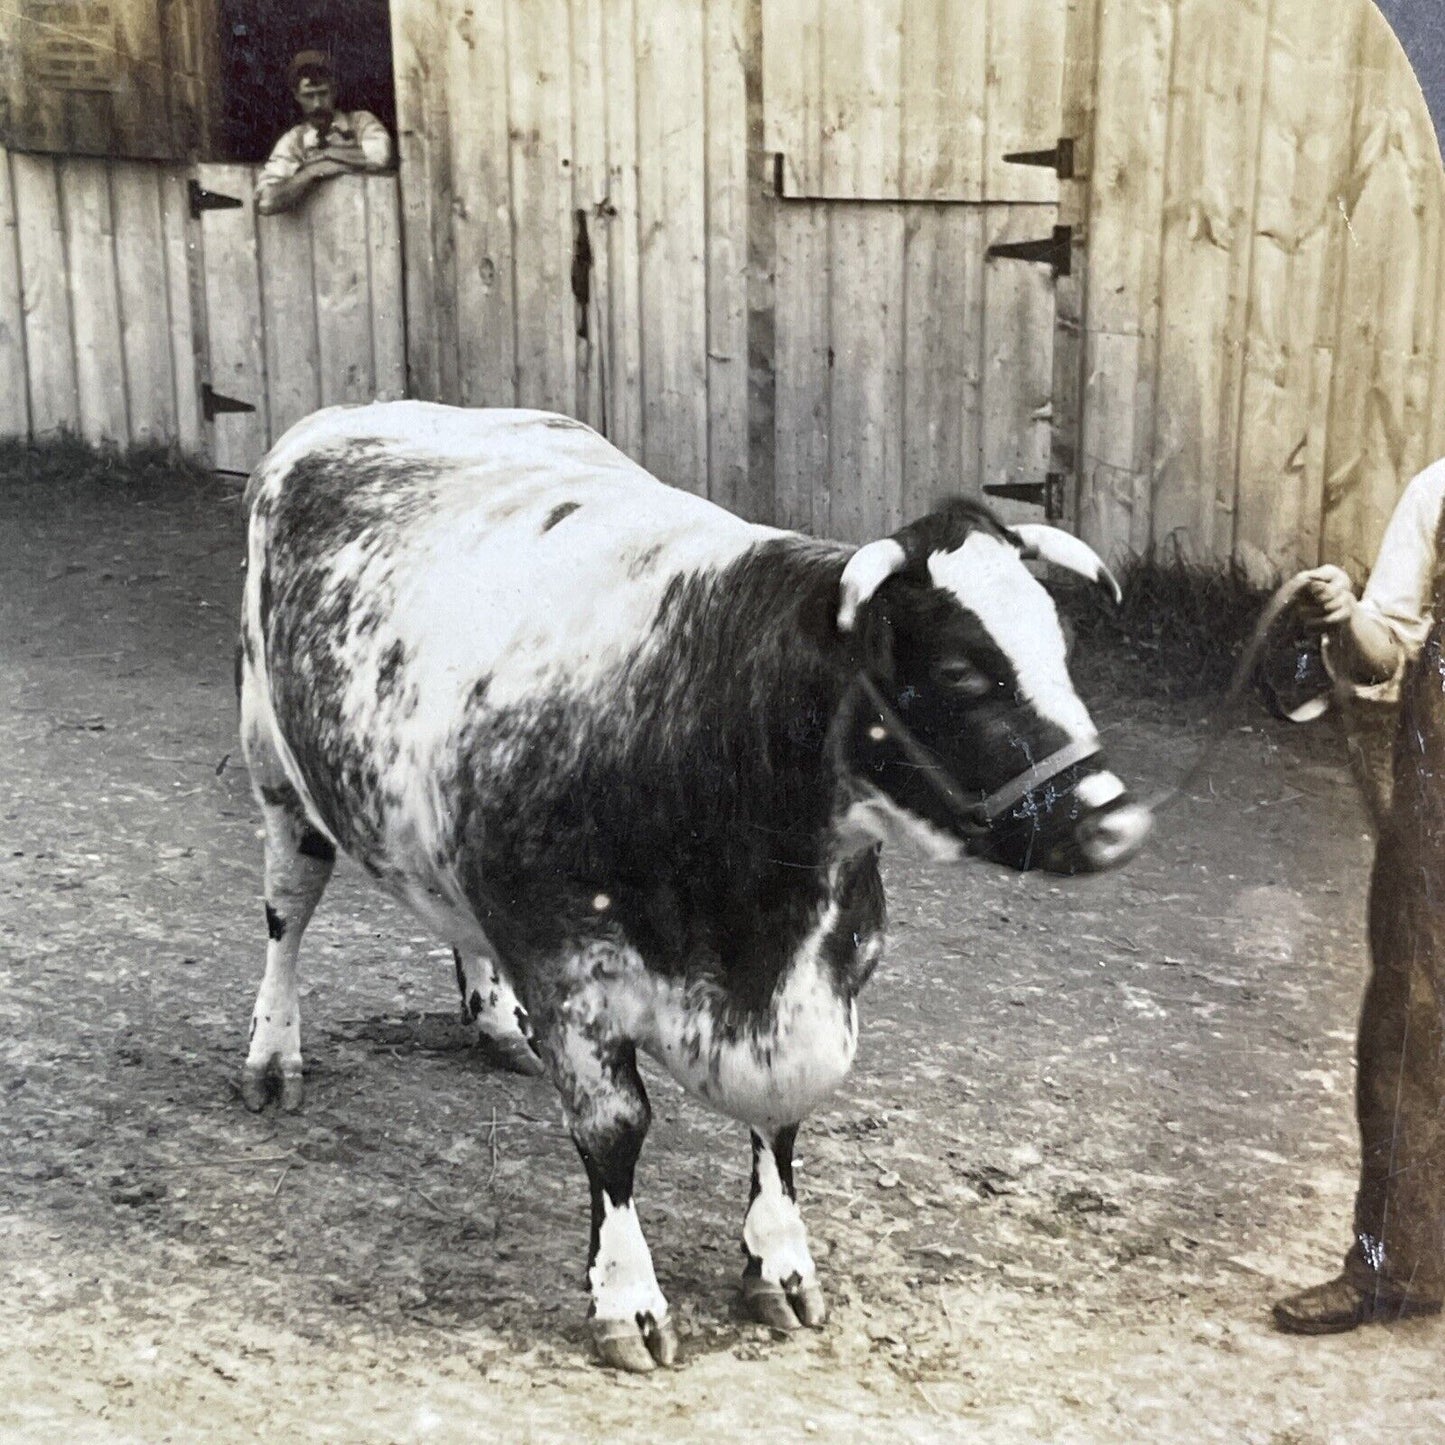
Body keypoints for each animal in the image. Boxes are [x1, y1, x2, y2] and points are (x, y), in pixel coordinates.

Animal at [242, 404, 1156, 1364]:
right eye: (958, 671)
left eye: (1060, 649)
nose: (1113, 821)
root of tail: (366, 413)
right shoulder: (567, 968)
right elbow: (614, 1128)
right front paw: (626, 1297)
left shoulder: (825, 978)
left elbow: (782, 1117)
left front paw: (779, 1261)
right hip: (272, 765)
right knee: (286, 914)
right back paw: (272, 1053)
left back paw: (493, 1023)